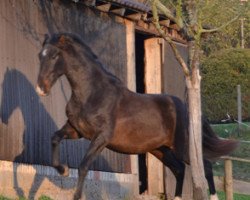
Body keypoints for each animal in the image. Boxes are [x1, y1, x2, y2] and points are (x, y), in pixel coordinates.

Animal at [36, 33, 237, 200]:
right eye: (40, 56)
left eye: (54, 56)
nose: (41, 89)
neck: (92, 93)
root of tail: (184, 107)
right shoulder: (76, 130)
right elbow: (54, 138)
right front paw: (62, 170)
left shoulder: (101, 138)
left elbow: (83, 166)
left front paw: (75, 193)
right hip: (160, 149)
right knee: (179, 169)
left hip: (182, 147)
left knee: (205, 167)